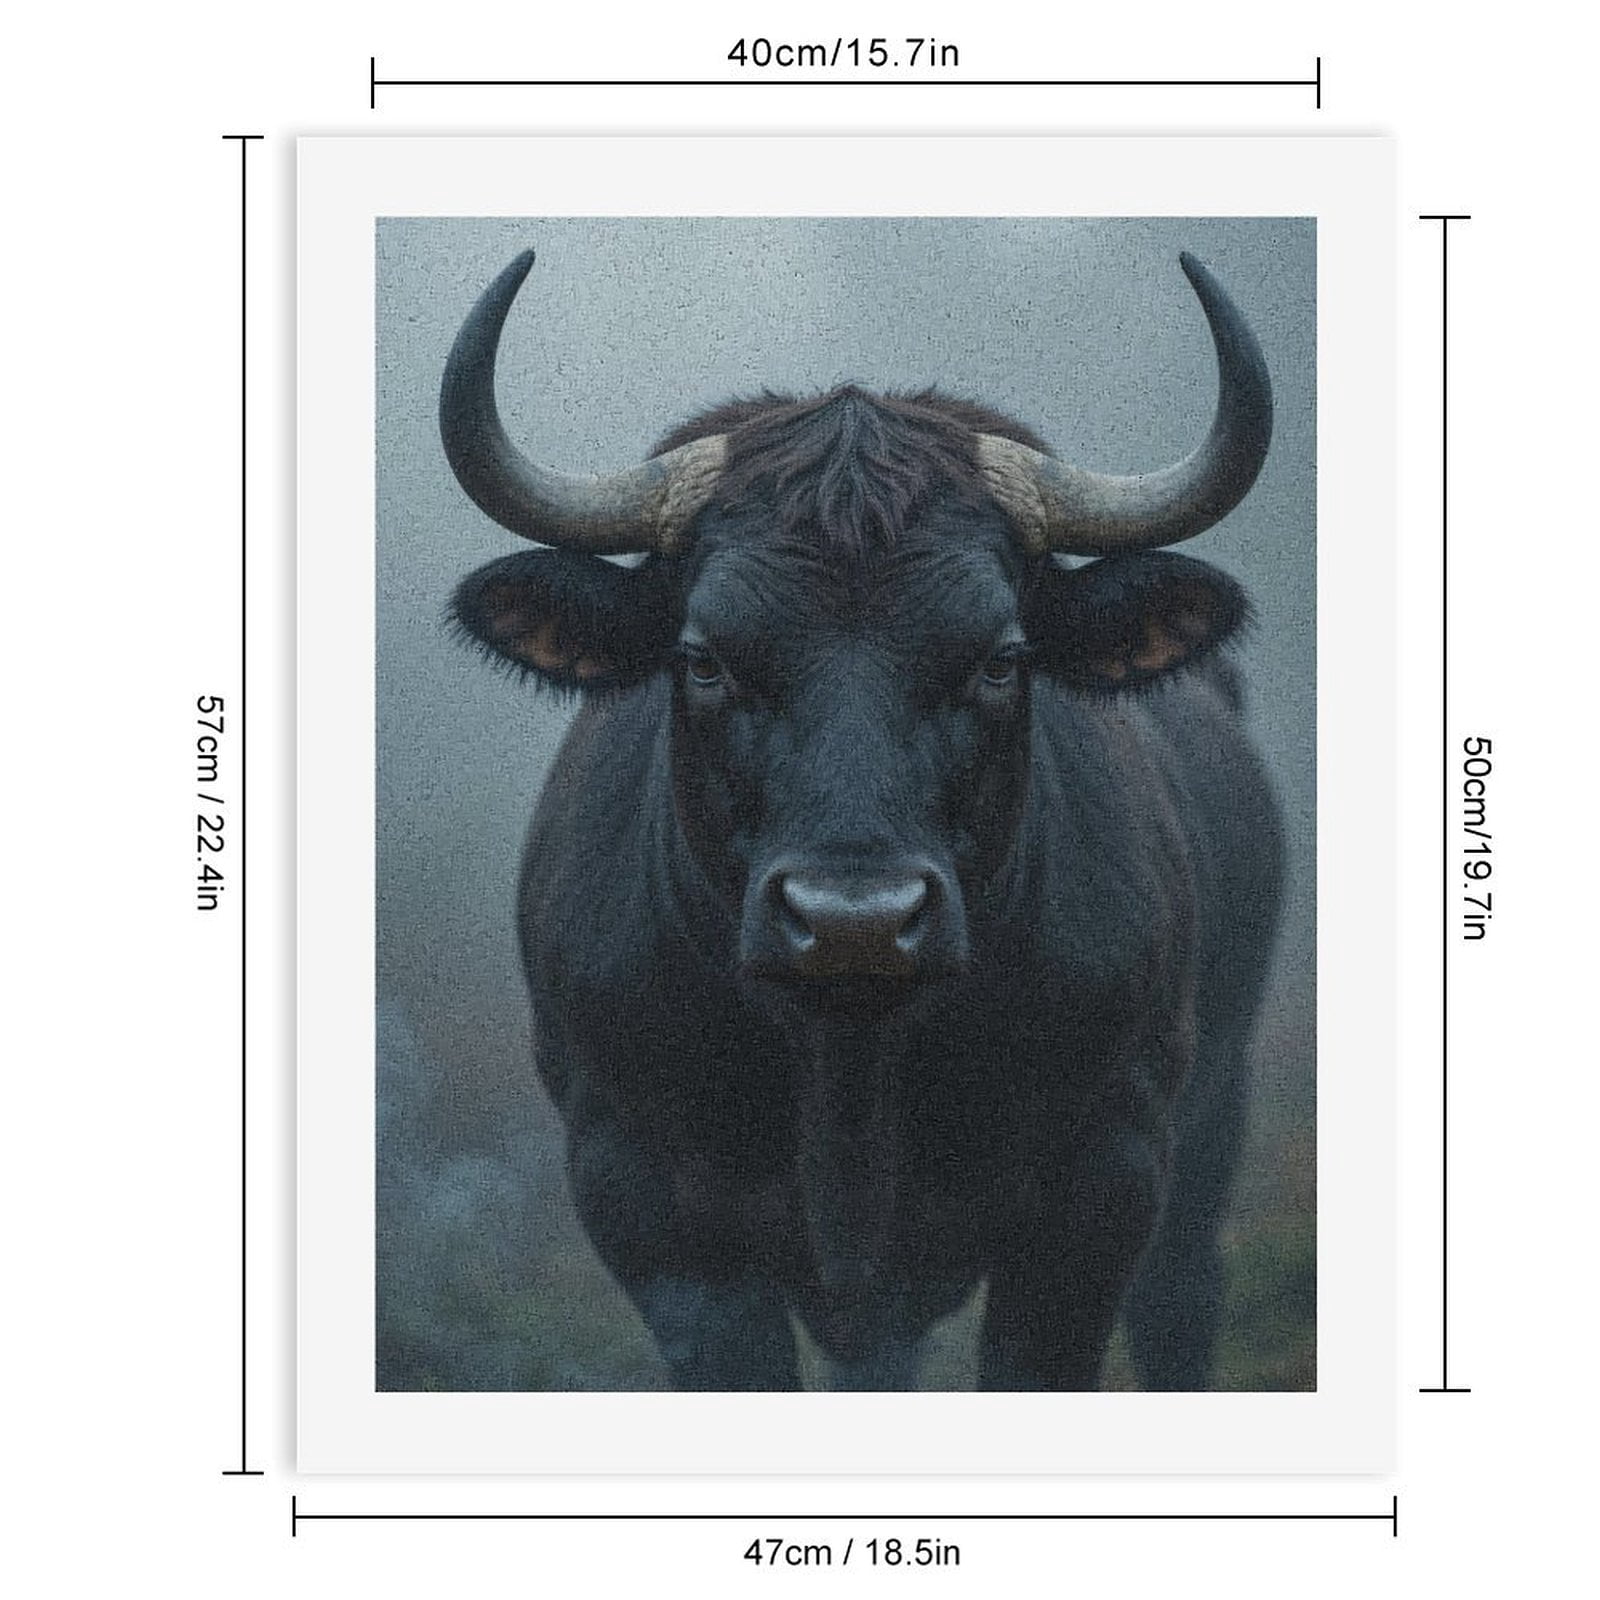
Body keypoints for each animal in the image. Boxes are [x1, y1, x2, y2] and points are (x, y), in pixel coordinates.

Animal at [439, 248, 1285, 1391]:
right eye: (703, 657)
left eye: (1001, 658)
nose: (855, 922)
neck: (848, 1062)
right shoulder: (646, 1204)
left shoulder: (1101, 1189)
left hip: (1214, 1112)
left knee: (1179, 1300)